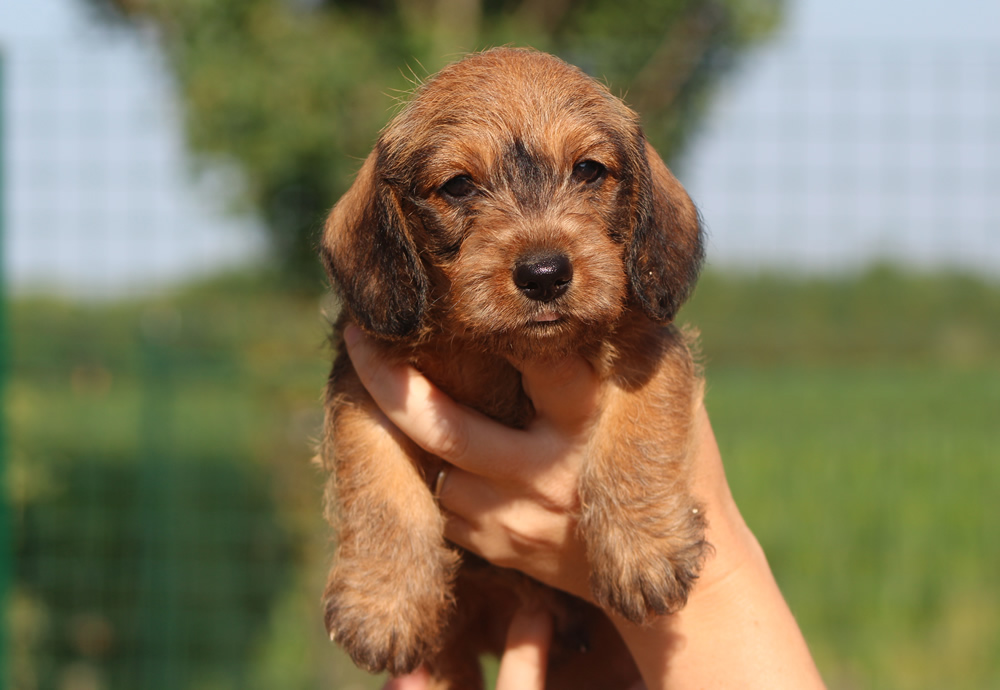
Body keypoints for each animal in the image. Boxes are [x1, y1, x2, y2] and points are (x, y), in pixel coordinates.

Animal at [318, 48, 704, 688]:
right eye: (458, 185)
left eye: (589, 171)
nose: (545, 273)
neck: (499, 354)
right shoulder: (363, 381)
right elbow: (380, 487)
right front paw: (383, 602)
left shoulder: (649, 344)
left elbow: (637, 434)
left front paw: (643, 549)